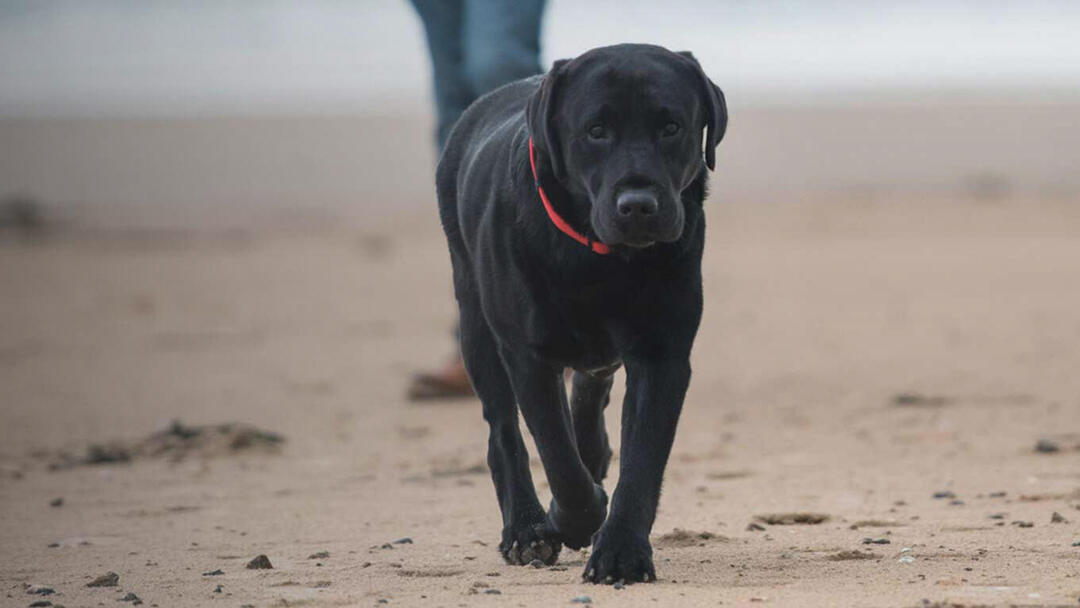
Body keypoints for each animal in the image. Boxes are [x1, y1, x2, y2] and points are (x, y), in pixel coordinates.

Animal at [436, 44, 725, 583]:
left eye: (670, 126)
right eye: (596, 130)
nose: (639, 204)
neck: (601, 261)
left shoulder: (663, 354)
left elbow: (642, 459)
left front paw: (621, 552)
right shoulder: (527, 354)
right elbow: (557, 455)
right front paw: (573, 517)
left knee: (590, 394)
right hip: (476, 326)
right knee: (504, 432)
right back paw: (526, 527)